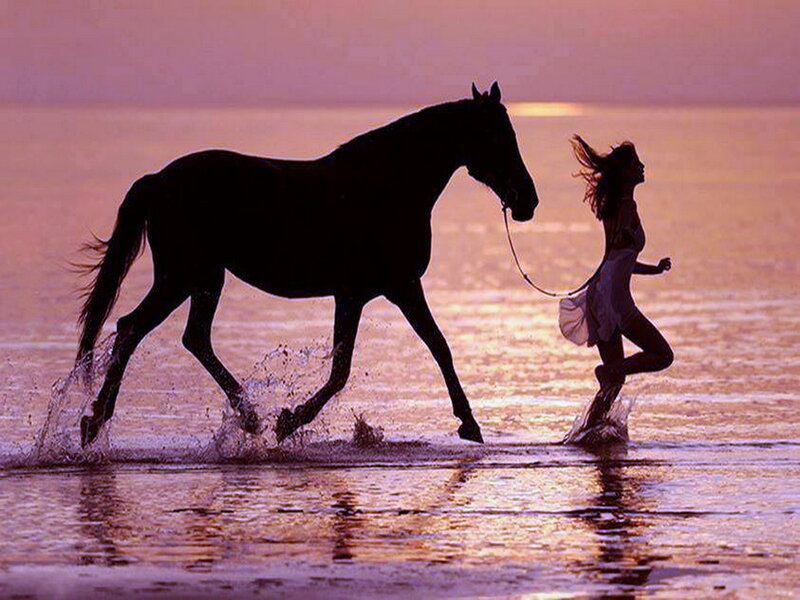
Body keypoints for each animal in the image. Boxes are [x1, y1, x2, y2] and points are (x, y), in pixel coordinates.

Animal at [75, 82, 538, 447]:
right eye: (497, 137)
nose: (528, 201)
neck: (388, 185)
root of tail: (159, 179)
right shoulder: (398, 286)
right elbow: (431, 348)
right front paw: (469, 422)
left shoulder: (357, 295)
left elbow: (348, 367)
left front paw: (288, 419)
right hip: (185, 277)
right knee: (134, 329)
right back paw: (97, 422)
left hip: (202, 279)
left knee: (189, 337)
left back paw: (242, 417)